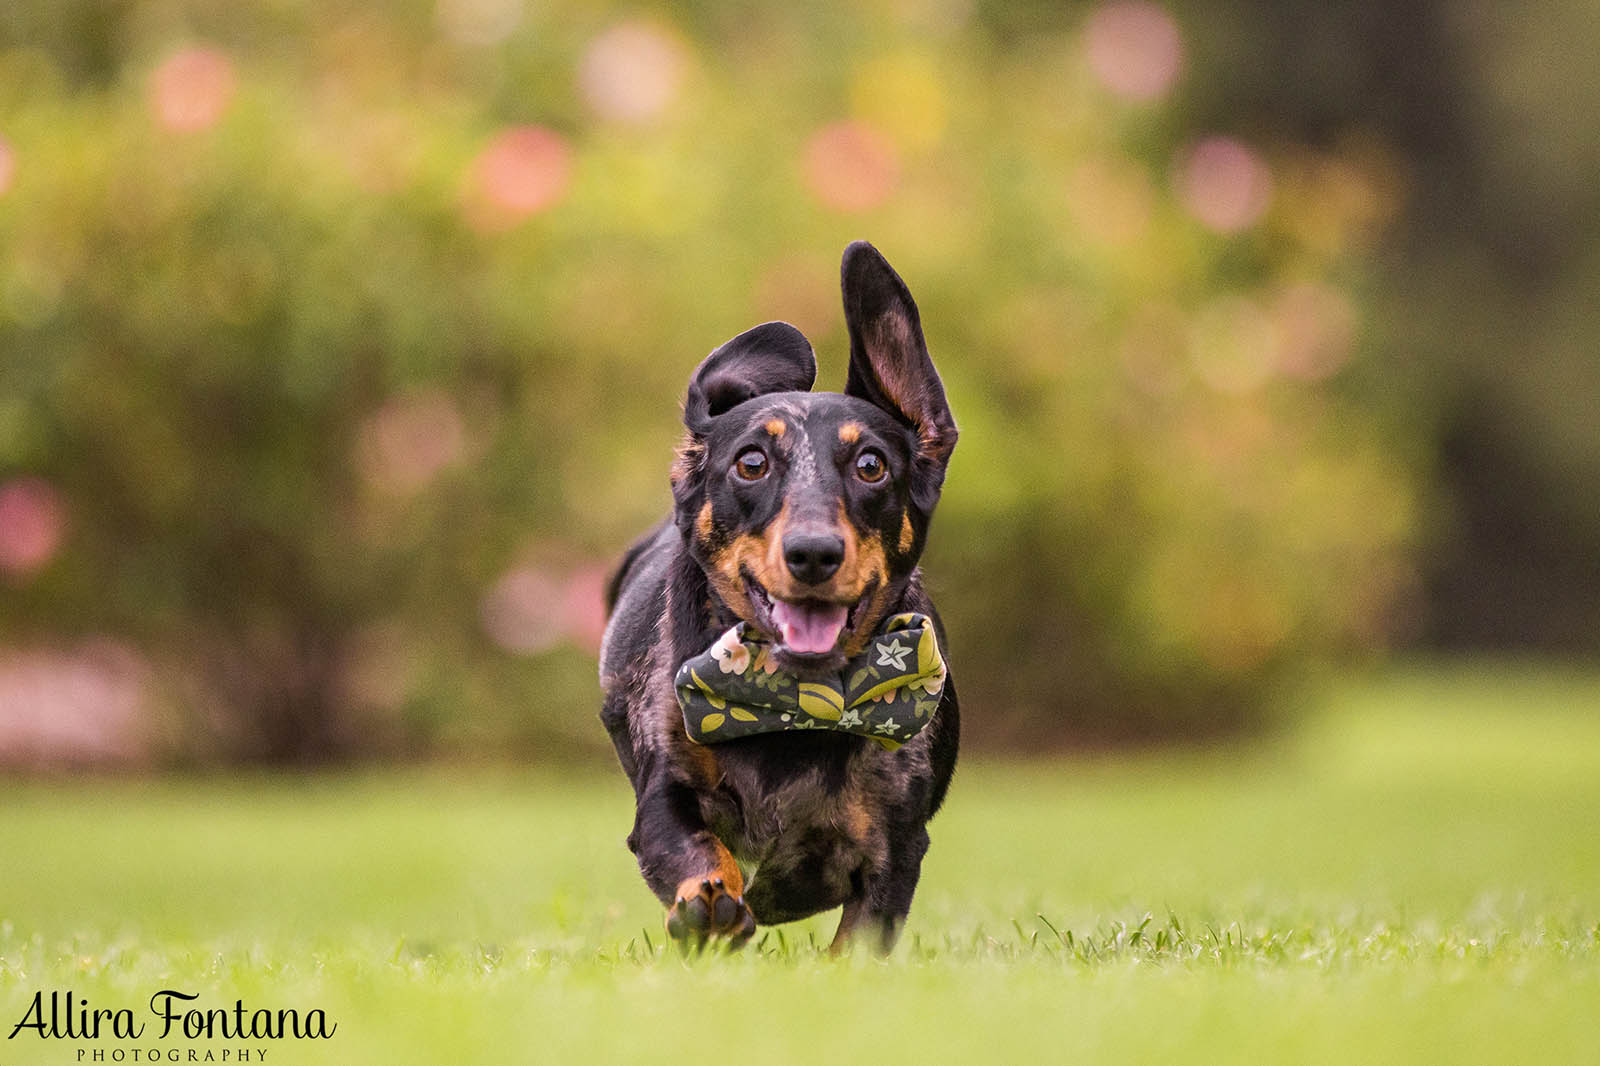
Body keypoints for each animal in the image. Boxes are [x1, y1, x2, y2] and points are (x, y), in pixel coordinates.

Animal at [595, 240, 953, 953]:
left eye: (872, 465)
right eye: (752, 462)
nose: (813, 553)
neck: (795, 706)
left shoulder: (897, 848)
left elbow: (859, 941)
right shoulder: (661, 798)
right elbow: (692, 844)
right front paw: (709, 901)